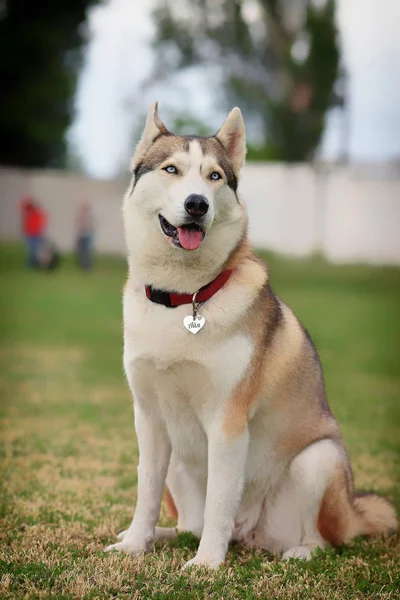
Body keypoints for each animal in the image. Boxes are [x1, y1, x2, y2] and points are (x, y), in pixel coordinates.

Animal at [105, 102, 396, 568]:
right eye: (171, 169)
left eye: (214, 176)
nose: (197, 204)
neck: (185, 298)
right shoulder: (148, 418)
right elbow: (145, 492)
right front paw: (134, 544)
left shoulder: (227, 421)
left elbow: (219, 501)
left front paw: (206, 564)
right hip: (177, 462)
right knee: (191, 524)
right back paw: (164, 535)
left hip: (318, 460)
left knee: (324, 540)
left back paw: (298, 552)